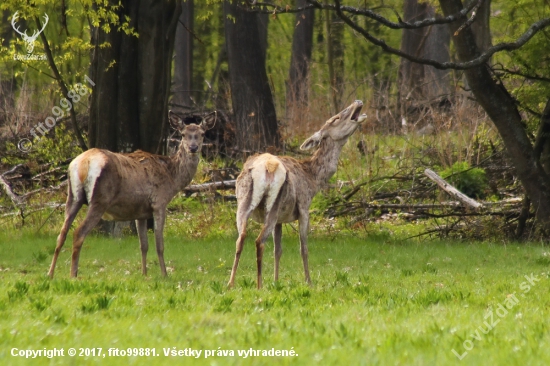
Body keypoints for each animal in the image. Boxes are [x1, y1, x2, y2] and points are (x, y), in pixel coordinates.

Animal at [47, 111, 217, 278]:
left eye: (202, 133)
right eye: (183, 134)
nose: (193, 147)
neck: (172, 178)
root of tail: (83, 163)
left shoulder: (140, 212)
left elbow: (143, 245)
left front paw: (144, 274)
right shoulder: (159, 202)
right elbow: (159, 244)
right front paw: (164, 275)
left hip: (72, 196)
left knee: (61, 234)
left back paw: (50, 274)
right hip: (100, 199)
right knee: (78, 233)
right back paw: (73, 275)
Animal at [229, 100, 366, 288]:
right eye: (335, 119)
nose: (357, 101)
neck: (313, 179)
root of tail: (266, 167)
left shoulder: (280, 219)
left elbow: (278, 250)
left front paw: (276, 281)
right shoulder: (304, 207)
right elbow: (304, 248)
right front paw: (309, 281)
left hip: (243, 200)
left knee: (240, 237)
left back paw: (230, 284)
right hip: (273, 204)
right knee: (259, 241)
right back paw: (259, 286)